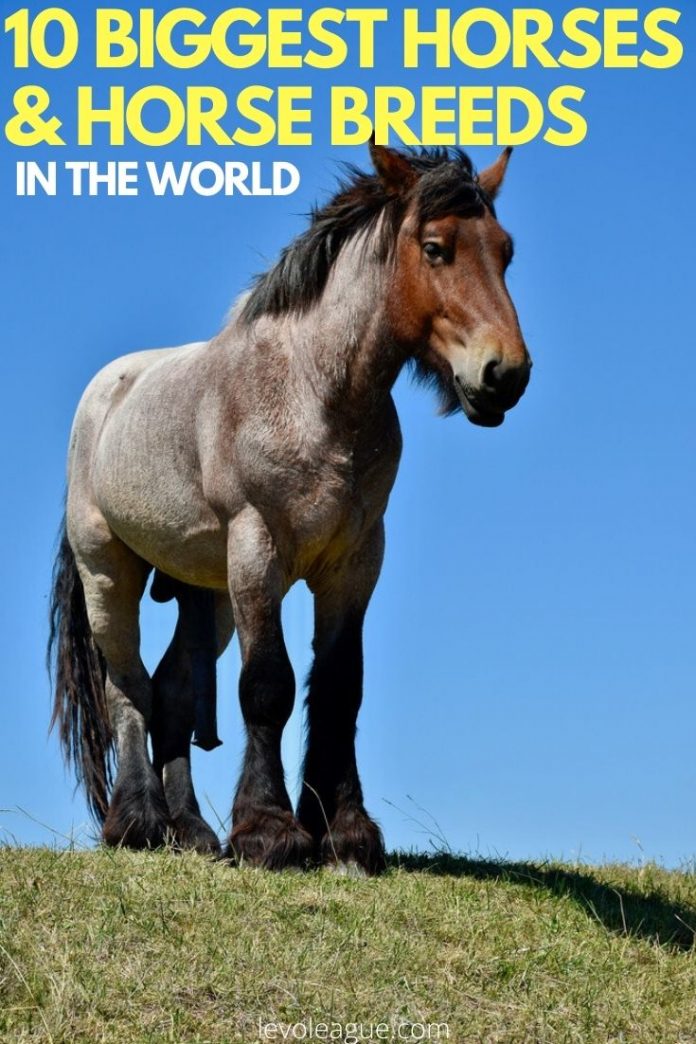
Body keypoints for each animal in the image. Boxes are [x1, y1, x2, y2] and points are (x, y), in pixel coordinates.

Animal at [48, 141, 531, 874]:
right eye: (436, 248)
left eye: (504, 251)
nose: (504, 374)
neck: (314, 394)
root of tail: (107, 390)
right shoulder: (259, 549)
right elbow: (268, 685)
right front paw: (268, 831)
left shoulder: (355, 561)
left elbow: (338, 686)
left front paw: (345, 832)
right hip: (111, 572)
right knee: (126, 686)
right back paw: (138, 823)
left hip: (208, 594)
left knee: (172, 692)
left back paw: (191, 830)